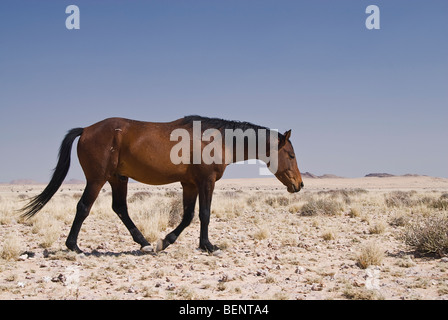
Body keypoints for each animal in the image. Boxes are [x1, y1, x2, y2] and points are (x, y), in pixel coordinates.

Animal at [23, 116, 304, 254]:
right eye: (291, 155)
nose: (300, 185)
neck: (215, 140)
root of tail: (86, 129)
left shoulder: (190, 184)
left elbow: (188, 216)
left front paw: (165, 242)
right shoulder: (206, 182)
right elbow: (204, 214)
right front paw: (208, 246)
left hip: (117, 178)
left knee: (120, 209)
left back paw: (145, 243)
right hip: (97, 179)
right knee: (83, 207)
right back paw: (74, 246)